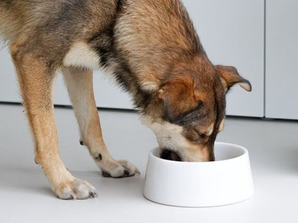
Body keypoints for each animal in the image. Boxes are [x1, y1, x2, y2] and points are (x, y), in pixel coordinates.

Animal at [0, 0, 251, 199]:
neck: (121, 10)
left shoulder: (77, 66)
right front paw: (65, 182)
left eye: (217, 133)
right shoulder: (34, 57)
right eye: (200, 134)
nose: (211, 169)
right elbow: (48, 134)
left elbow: (92, 122)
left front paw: (109, 164)